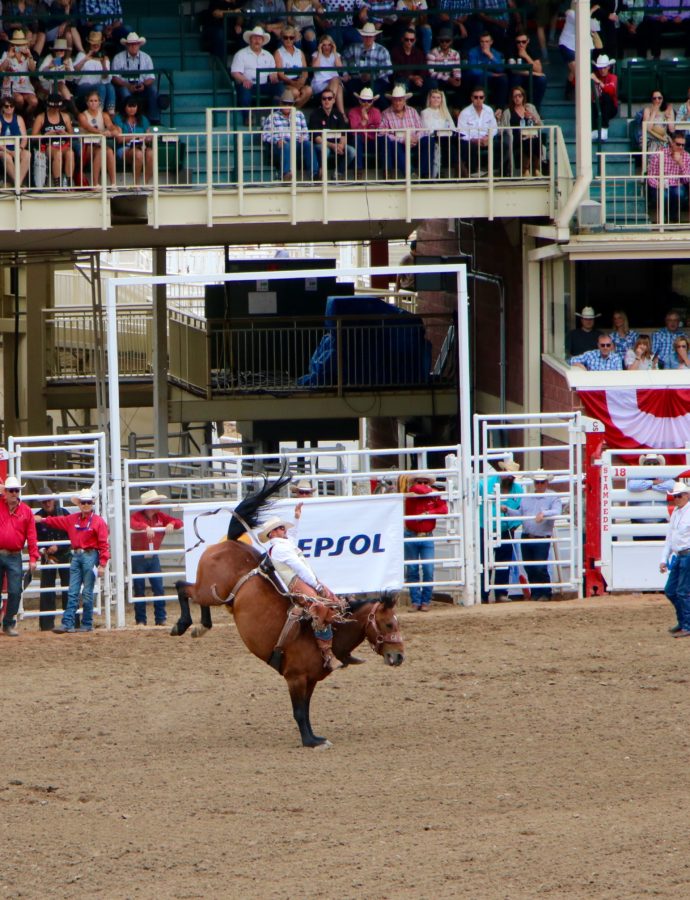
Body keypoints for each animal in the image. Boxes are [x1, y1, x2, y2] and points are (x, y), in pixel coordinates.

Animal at [171, 474, 404, 748]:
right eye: (388, 624)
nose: (399, 656)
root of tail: (229, 542)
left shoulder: (310, 680)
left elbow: (307, 710)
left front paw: (314, 737)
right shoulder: (295, 677)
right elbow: (299, 711)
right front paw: (310, 741)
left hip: (215, 593)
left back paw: (201, 627)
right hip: (207, 588)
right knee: (182, 587)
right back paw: (182, 624)